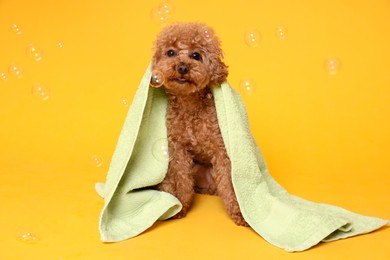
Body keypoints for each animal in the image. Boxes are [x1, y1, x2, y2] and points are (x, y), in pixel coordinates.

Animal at [151, 22, 248, 226]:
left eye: (196, 55)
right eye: (170, 52)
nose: (182, 67)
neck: (190, 105)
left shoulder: (221, 150)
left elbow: (230, 184)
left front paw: (239, 212)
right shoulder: (178, 150)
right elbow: (180, 180)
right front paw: (179, 205)